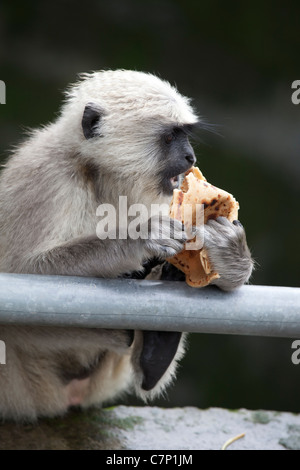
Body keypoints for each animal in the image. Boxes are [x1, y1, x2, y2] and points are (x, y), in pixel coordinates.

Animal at [0, 70, 253, 422]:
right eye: (170, 137)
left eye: (185, 136)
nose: (190, 157)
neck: (98, 175)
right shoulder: (49, 177)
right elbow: (23, 273)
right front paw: (140, 238)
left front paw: (229, 252)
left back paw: (157, 350)